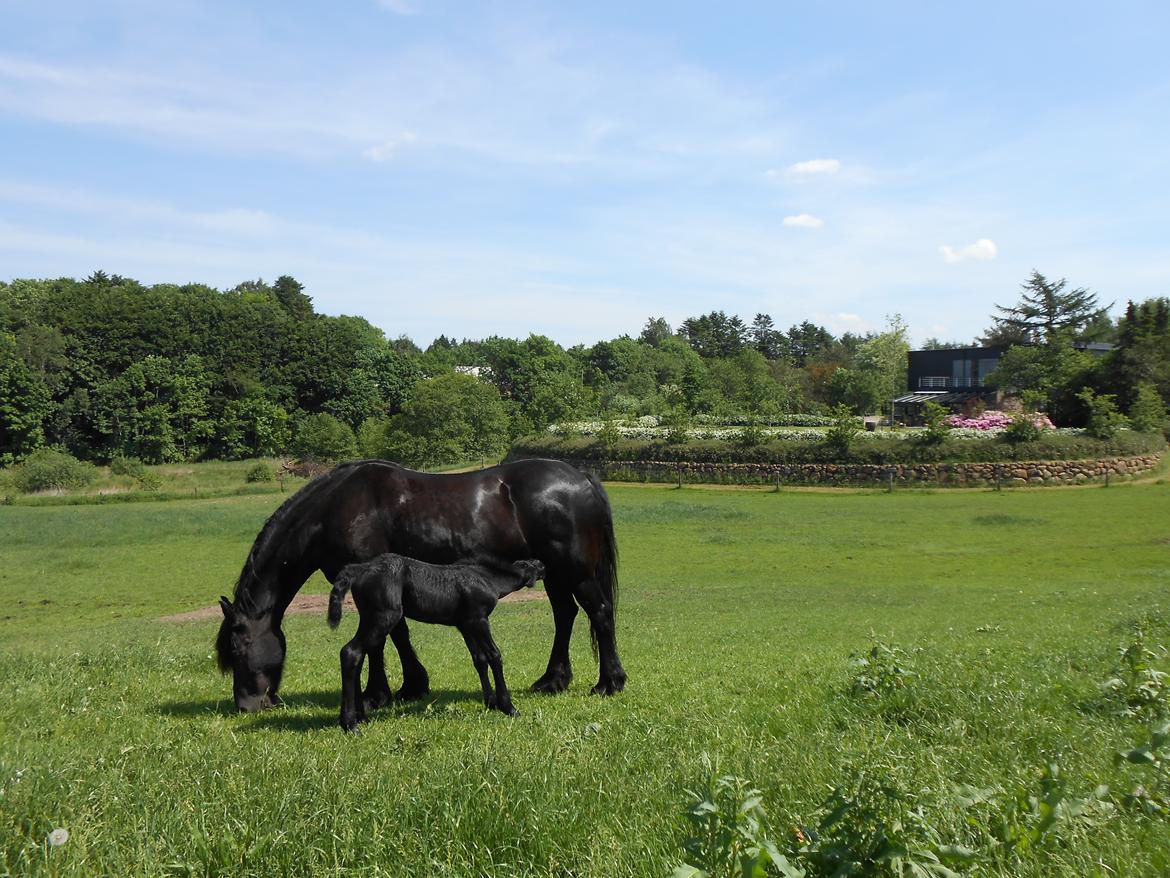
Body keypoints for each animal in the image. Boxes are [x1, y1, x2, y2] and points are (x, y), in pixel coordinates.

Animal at [327, 557, 545, 735]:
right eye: (537, 565)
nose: (545, 566)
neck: (488, 578)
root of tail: (359, 569)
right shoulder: (479, 620)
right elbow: (494, 656)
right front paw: (508, 707)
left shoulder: (465, 625)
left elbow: (479, 660)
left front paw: (490, 703)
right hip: (383, 618)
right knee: (351, 652)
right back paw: (350, 725)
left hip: (369, 619)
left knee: (357, 656)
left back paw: (360, 718)